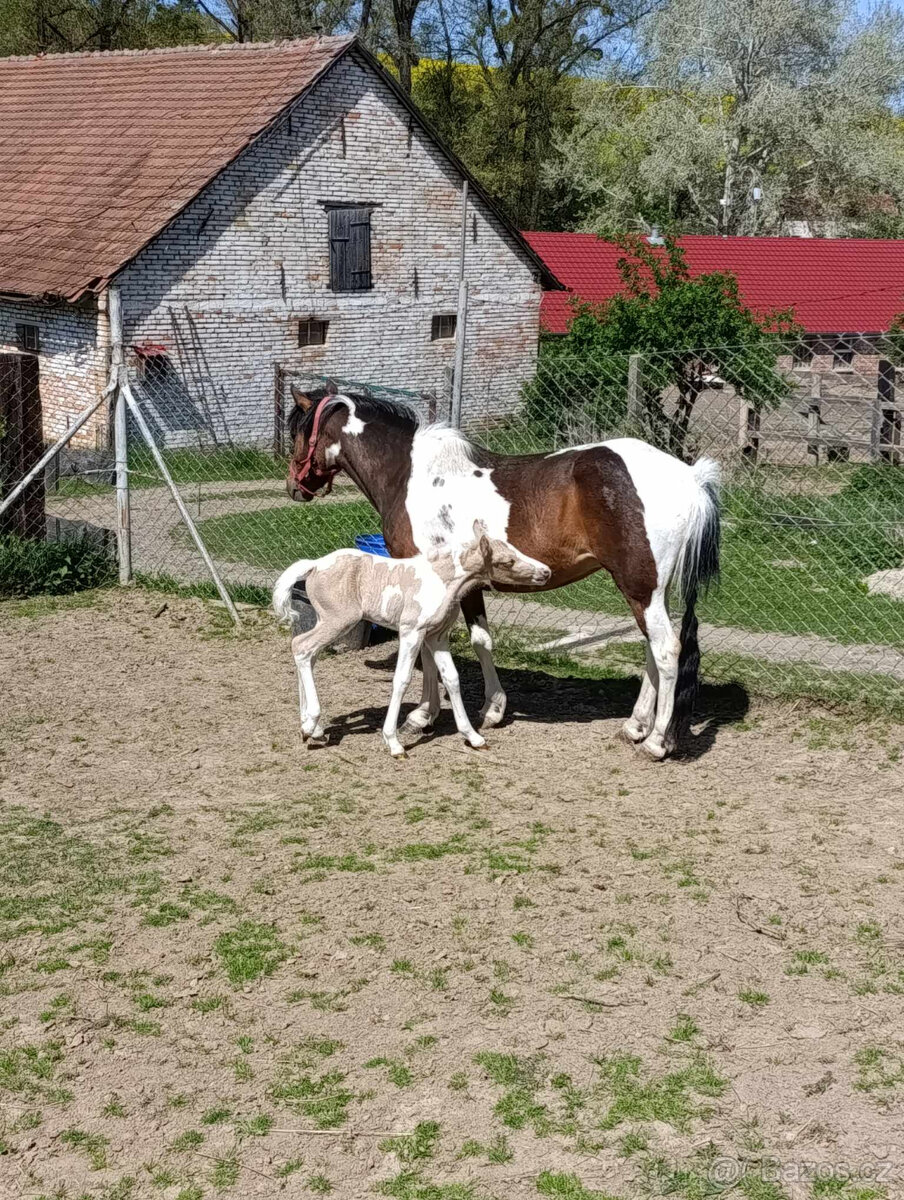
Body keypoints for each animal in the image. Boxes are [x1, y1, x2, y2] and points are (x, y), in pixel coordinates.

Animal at [272, 523, 550, 757]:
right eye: (507, 561)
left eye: (515, 549)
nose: (546, 571)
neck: (442, 580)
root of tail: (315, 564)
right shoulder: (411, 631)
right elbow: (402, 679)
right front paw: (393, 742)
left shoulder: (437, 637)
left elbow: (452, 678)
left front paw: (473, 736)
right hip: (338, 620)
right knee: (302, 647)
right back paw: (311, 723)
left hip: (325, 620)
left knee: (307, 654)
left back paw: (312, 728)